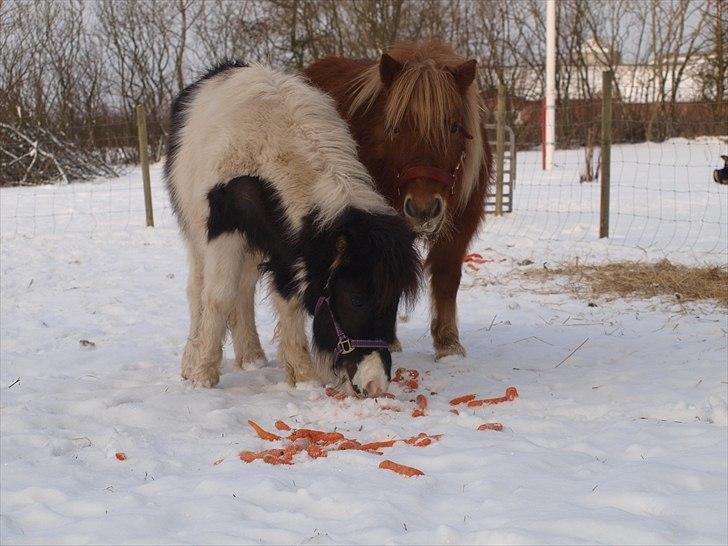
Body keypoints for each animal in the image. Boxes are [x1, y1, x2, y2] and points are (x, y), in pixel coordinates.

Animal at [162, 61, 418, 396]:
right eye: (356, 299)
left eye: (395, 299)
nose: (375, 383)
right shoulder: (224, 229)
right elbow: (218, 297)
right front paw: (203, 374)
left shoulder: (289, 244)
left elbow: (289, 298)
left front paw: (302, 374)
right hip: (196, 234)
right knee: (198, 289)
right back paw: (191, 359)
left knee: (244, 288)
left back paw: (252, 357)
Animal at [304, 40, 492, 360]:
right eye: (395, 127)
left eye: (454, 127)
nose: (423, 209)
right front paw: (387, 338)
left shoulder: (461, 226)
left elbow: (446, 276)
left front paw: (448, 344)